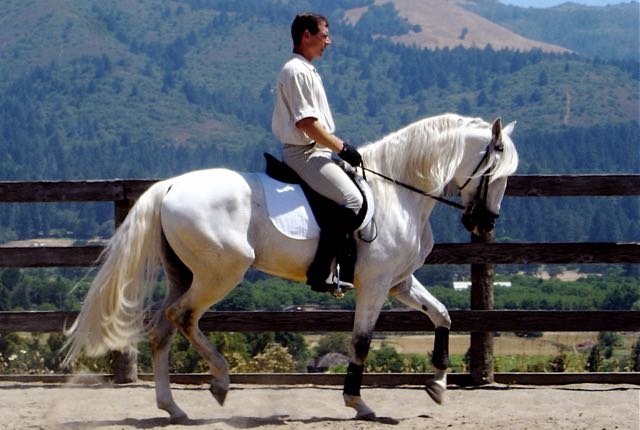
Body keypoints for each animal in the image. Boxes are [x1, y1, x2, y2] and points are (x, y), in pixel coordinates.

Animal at [62, 113, 518, 423]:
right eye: (494, 171)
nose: (486, 224)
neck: (398, 193)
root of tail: (170, 186)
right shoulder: (374, 284)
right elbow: (361, 342)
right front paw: (359, 403)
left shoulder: (399, 281)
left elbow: (442, 315)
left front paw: (437, 385)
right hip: (219, 273)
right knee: (183, 317)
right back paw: (219, 382)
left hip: (185, 274)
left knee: (162, 327)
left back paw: (173, 407)